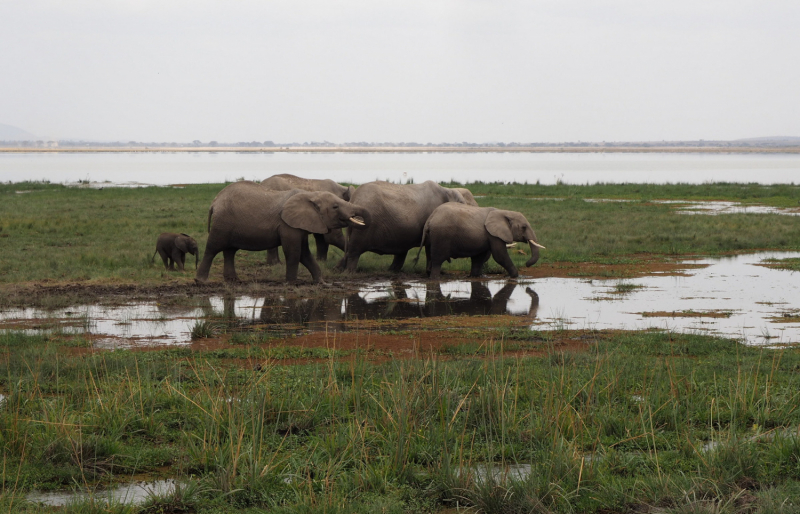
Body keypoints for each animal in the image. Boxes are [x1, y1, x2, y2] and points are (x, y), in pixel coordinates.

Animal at [195, 181, 370, 284]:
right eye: (335, 206)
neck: (310, 195)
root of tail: (215, 201)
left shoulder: (300, 224)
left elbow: (304, 253)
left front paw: (321, 283)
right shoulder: (287, 225)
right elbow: (293, 252)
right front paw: (290, 284)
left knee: (230, 251)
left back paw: (233, 280)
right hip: (222, 223)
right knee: (213, 248)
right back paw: (200, 281)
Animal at [332, 180, 468, 272]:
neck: (448, 190)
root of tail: (354, 200)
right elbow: (429, 246)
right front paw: (429, 271)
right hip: (363, 226)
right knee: (354, 250)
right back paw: (349, 273)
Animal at [416, 203, 548, 278]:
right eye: (524, 227)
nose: (526, 264)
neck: (503, 211)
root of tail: (430, 219)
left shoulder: (487, 235)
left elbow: (480, 257)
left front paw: (475, 276)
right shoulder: (494, 235)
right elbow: (500, 256)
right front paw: (516, 276)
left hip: (432, 236)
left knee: (430, 256)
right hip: (441, 236)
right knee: (437, 259)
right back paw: (435, 278)